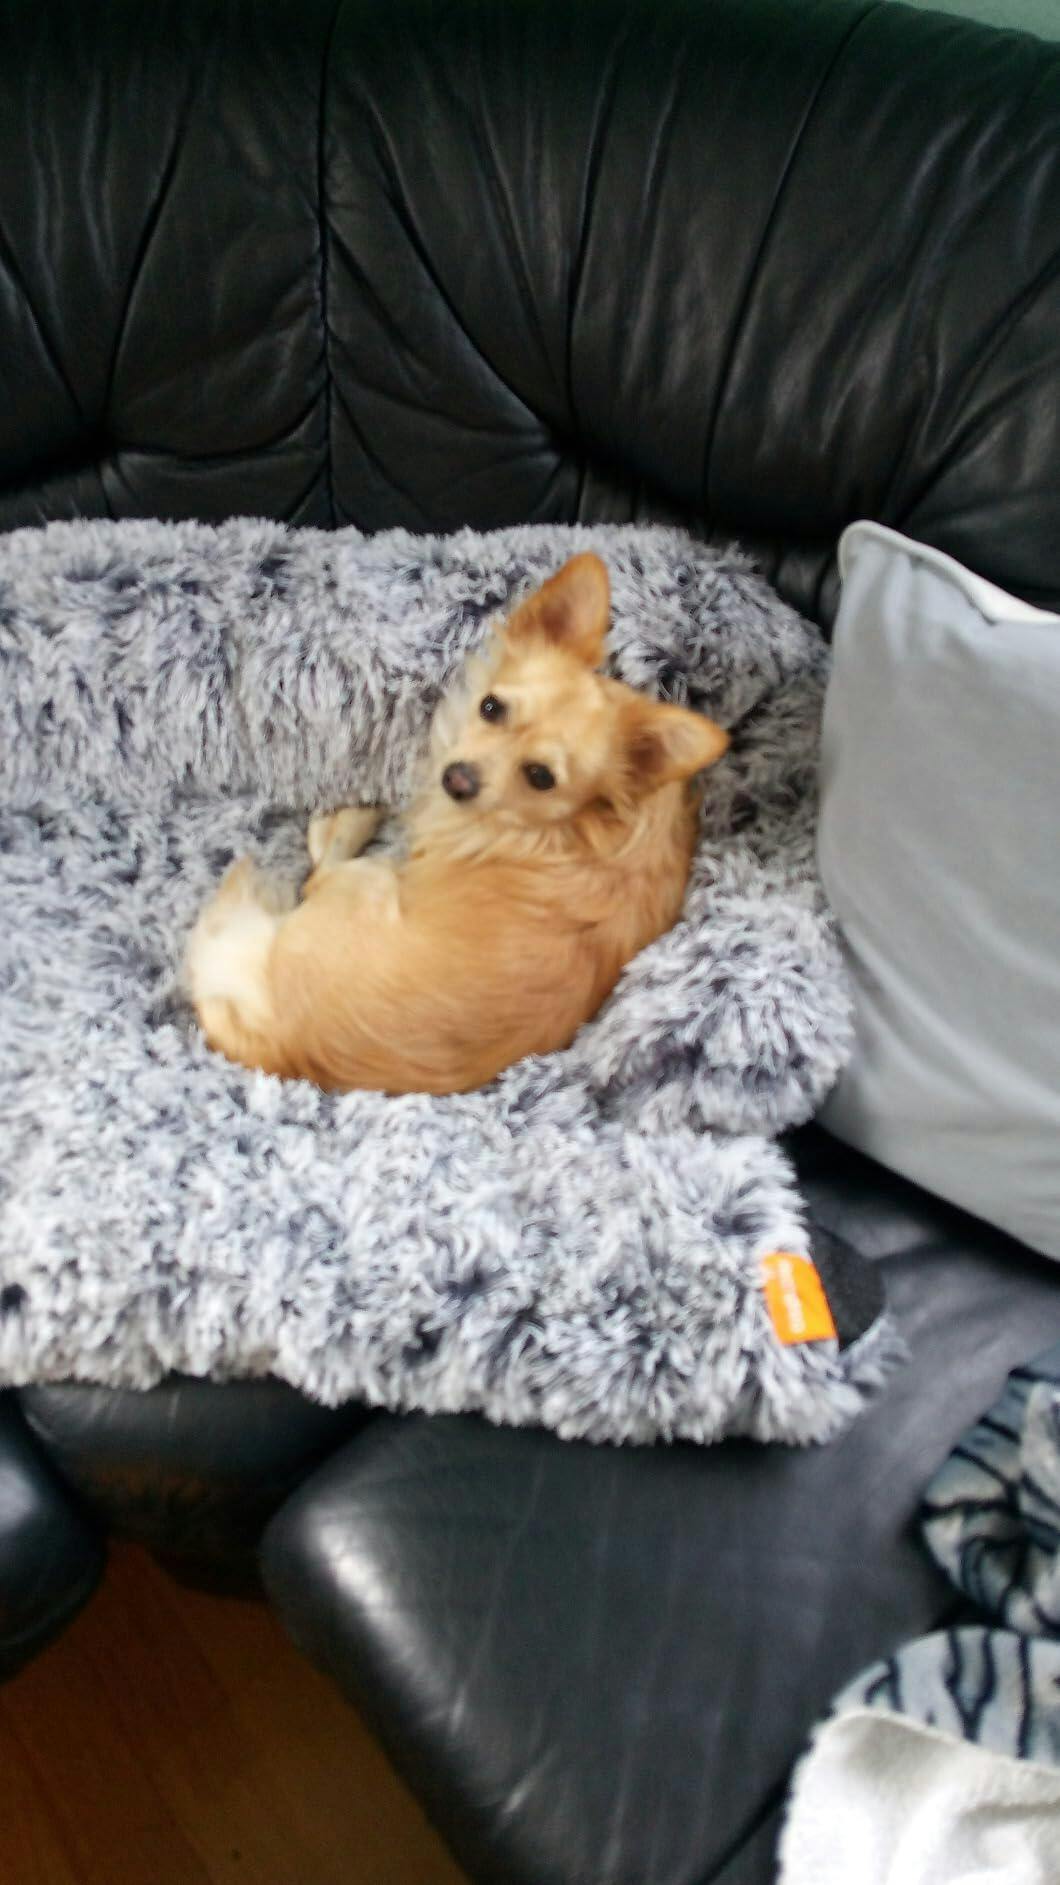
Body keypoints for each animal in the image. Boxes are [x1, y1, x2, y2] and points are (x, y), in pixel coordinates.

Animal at [186, 553, 730, 1093]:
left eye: (540, 777)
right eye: (491, 707)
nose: (457, 779)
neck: (585, 822)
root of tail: (289, 1052)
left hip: (369, 879)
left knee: (319, 874)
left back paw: (349, 821)